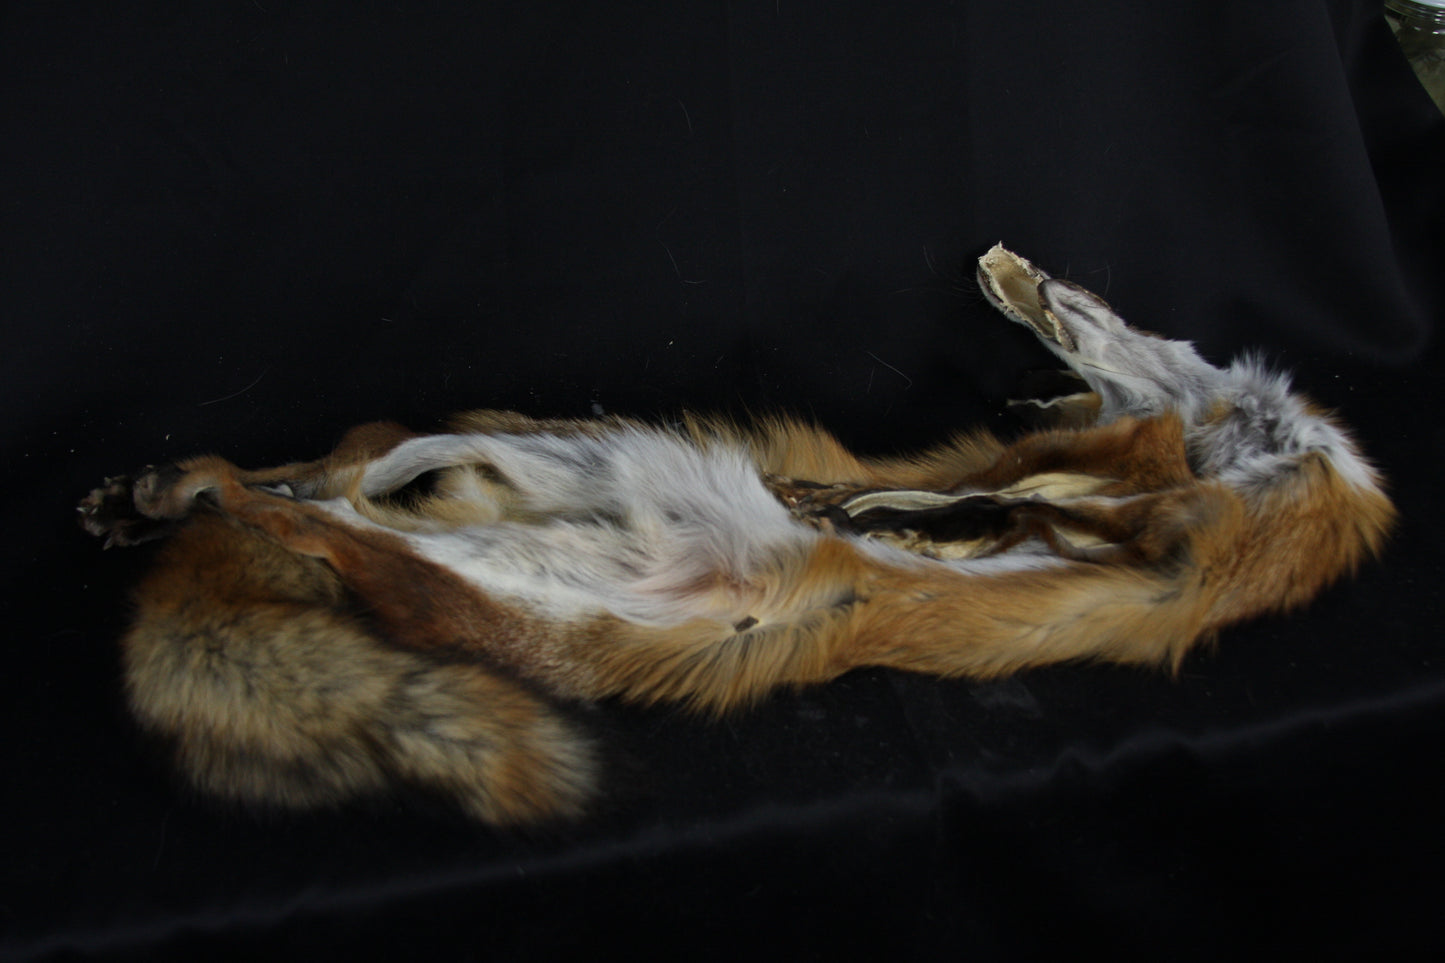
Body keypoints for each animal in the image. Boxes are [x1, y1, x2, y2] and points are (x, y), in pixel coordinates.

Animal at [78, 245, 1394, 826]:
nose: (1016, 275)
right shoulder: (1161, 497)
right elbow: (1055, 469)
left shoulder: (1174, 545)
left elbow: (1058, 499)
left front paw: (909, 516)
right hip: (537, 489)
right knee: (318, 488)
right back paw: (162, 493)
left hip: (500, 559)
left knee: (324, 509)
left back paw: (170, 496)